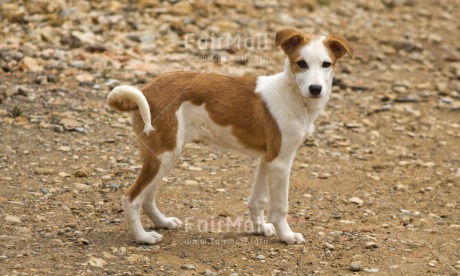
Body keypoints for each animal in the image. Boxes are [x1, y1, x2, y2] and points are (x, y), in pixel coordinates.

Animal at [107, 28, 352, 244]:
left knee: (147, 197)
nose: (315, 89)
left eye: (326, 64)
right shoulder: (281, 162)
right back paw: (142, 237)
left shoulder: (267, 159)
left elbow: (257, 200)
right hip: (165, 153)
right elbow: (280, 206)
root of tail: (146, 90)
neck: (292, 94)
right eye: (301, 63)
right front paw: (287, 236)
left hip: (163, 155)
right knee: (131, 198)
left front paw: (260, 229)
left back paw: (163, 222)